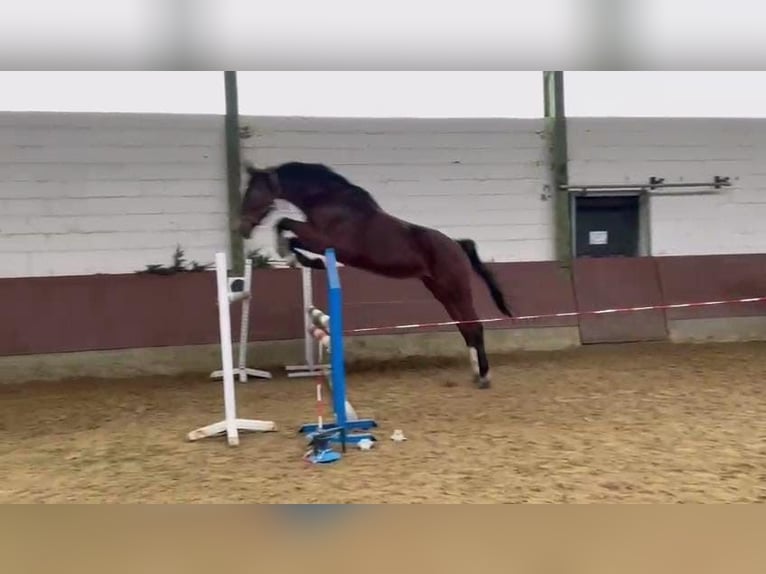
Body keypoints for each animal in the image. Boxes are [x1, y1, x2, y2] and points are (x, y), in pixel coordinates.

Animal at [238, 161, 513, 389]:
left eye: (253, 192)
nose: (241, 228)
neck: (330, 201)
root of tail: (456, 245)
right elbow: (289, 230)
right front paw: (300, 259)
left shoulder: (324, 240)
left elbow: (285, 225)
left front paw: (288, 253)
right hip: (442, 292)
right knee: (465, 327)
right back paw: (477, 374)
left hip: (456, 289)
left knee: (475, 326)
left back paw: (484, 376)